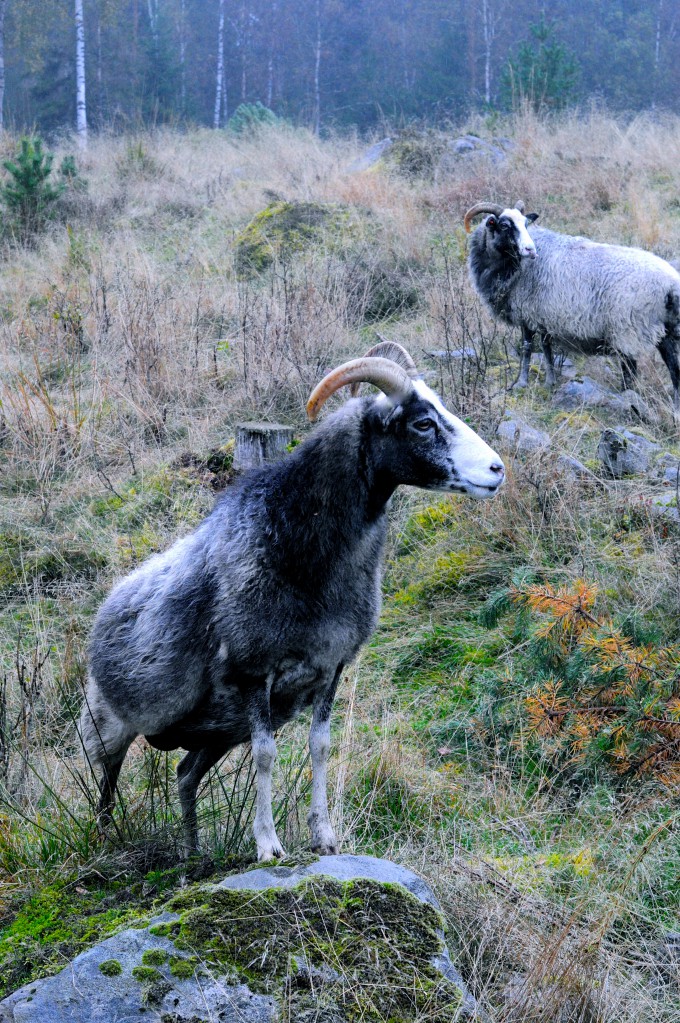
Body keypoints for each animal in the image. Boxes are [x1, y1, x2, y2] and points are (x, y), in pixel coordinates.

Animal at [81, 343, 505, 861]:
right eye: (422, 423)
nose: (497, 470)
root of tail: (107, 605)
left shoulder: (330, 667)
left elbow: (320, 745)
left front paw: (324, 837)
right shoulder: (254, 671)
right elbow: (266, 755)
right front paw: (268, 846)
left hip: (217, 731)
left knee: (184, 776)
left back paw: (194, 854)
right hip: (107, 722)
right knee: (105, 782)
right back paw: (105, 842)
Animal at [465, 201, 680, 409]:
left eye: (526, 224)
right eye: (504, 225)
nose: (530, 250)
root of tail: (670, 285)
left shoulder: (527, 314)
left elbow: (527, 349)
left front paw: (521, 383)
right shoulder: (543, 316)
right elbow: (546, 349)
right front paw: (550, 381)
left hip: (627, 330)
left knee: (630, 370)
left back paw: (626, 397)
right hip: (666, 333)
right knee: (674, 369)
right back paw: (675, 408)